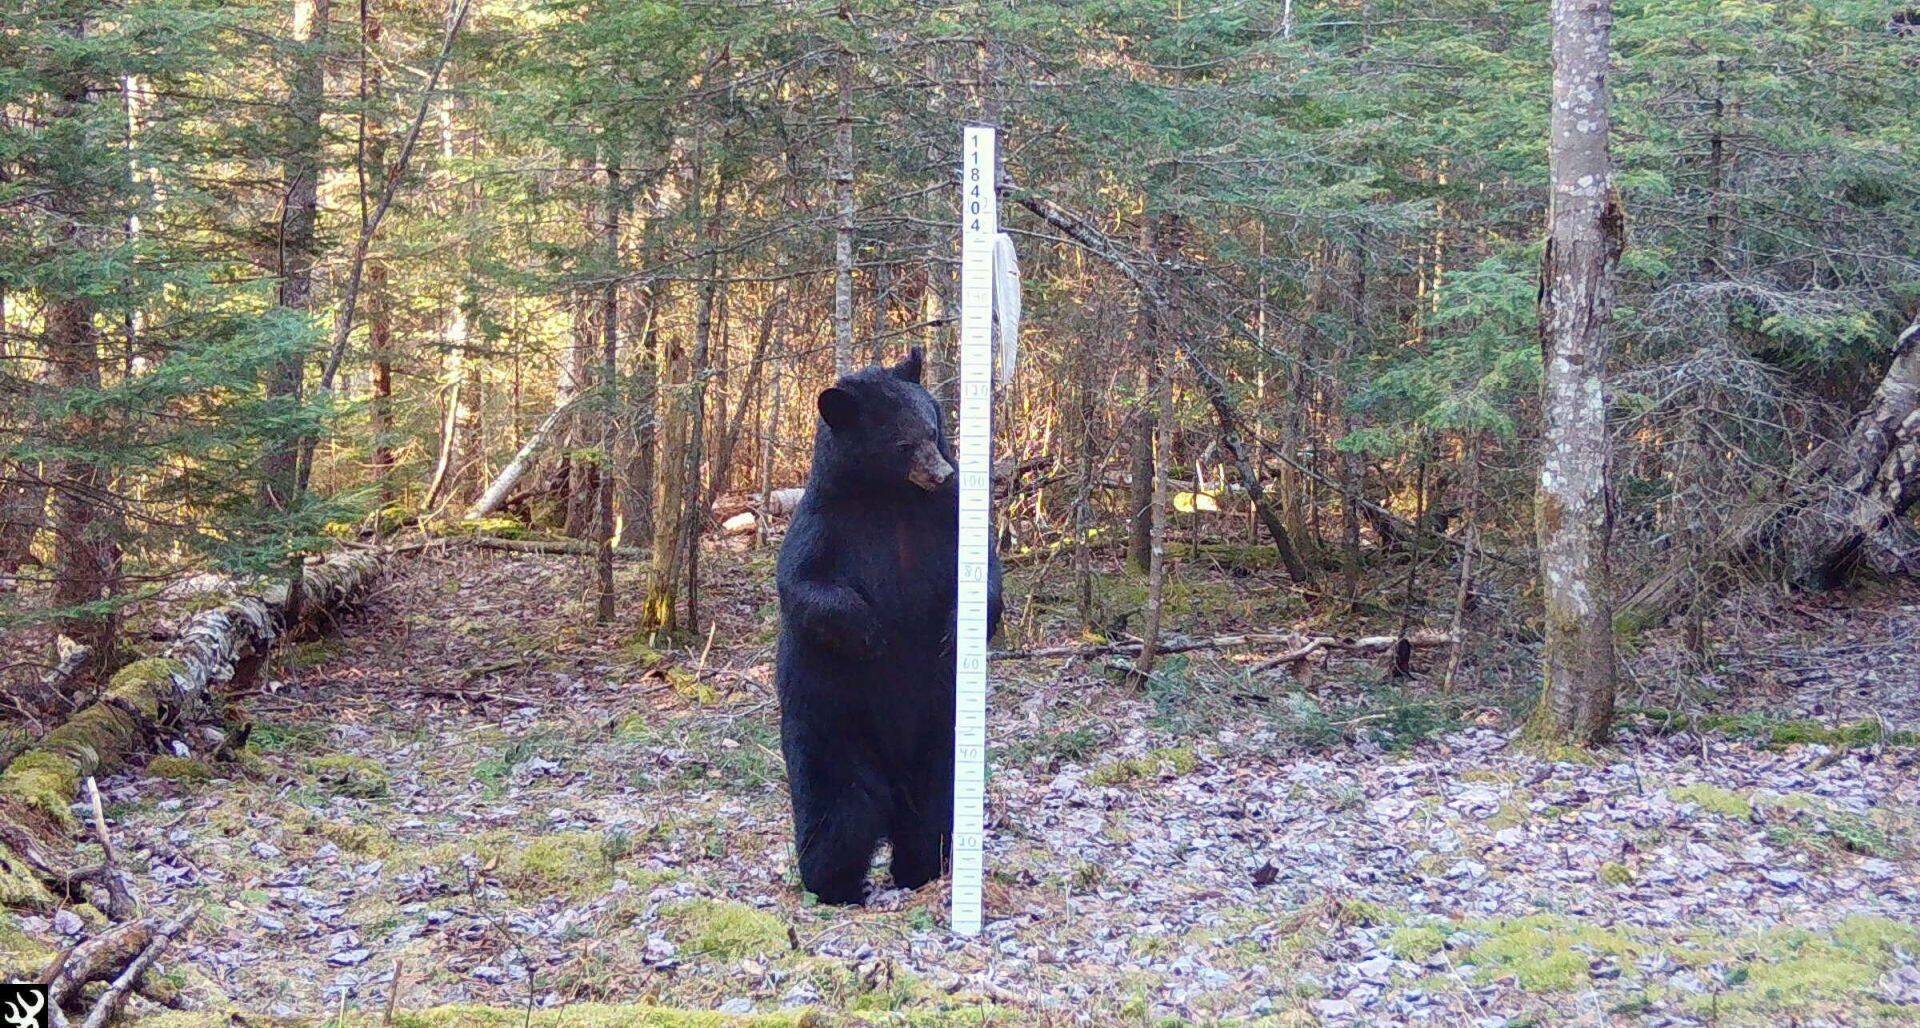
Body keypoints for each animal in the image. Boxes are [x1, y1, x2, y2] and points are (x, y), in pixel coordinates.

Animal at [771, 349, 1006, 906]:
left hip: (938, 734)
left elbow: (985, 568)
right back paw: (835, 885)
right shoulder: (826, 522)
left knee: (930, 808)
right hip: (830, 723)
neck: (890, 498)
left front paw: (955, 630)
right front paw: (869, 631)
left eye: (933, 426)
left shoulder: (947, 517)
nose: (941, 472)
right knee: (839, 809)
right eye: (901, 443)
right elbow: (800, 583)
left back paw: (921, 868)